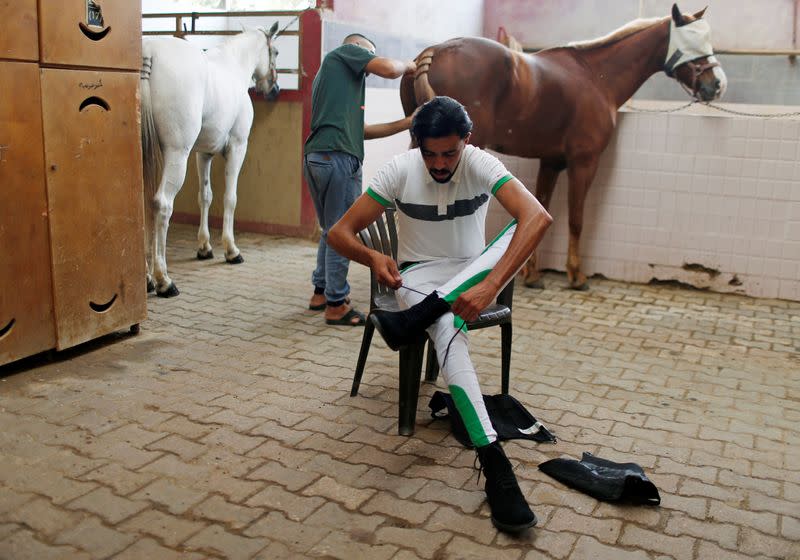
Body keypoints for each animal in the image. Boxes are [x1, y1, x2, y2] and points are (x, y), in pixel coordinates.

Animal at [141, 25, 282, 298]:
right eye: (276, 52)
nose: (274, 89)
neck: (234, 65)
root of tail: (149, 51)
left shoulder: (203, 153)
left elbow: (205, 196)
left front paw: (204, 247)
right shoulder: (238, 147)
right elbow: (230, 197)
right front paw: (231, 250)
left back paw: (147, 278)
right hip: (176, 154)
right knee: (162, 205)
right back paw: (164, 280)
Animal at [400, 4, 724, 290]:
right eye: (692, 40)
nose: (716, 84)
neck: (597, 77)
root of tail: (434, 52)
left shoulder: (551, 161)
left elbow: (538, 208)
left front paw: (531, 274)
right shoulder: (584, 162)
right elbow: (576, 219)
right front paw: (576, 276)